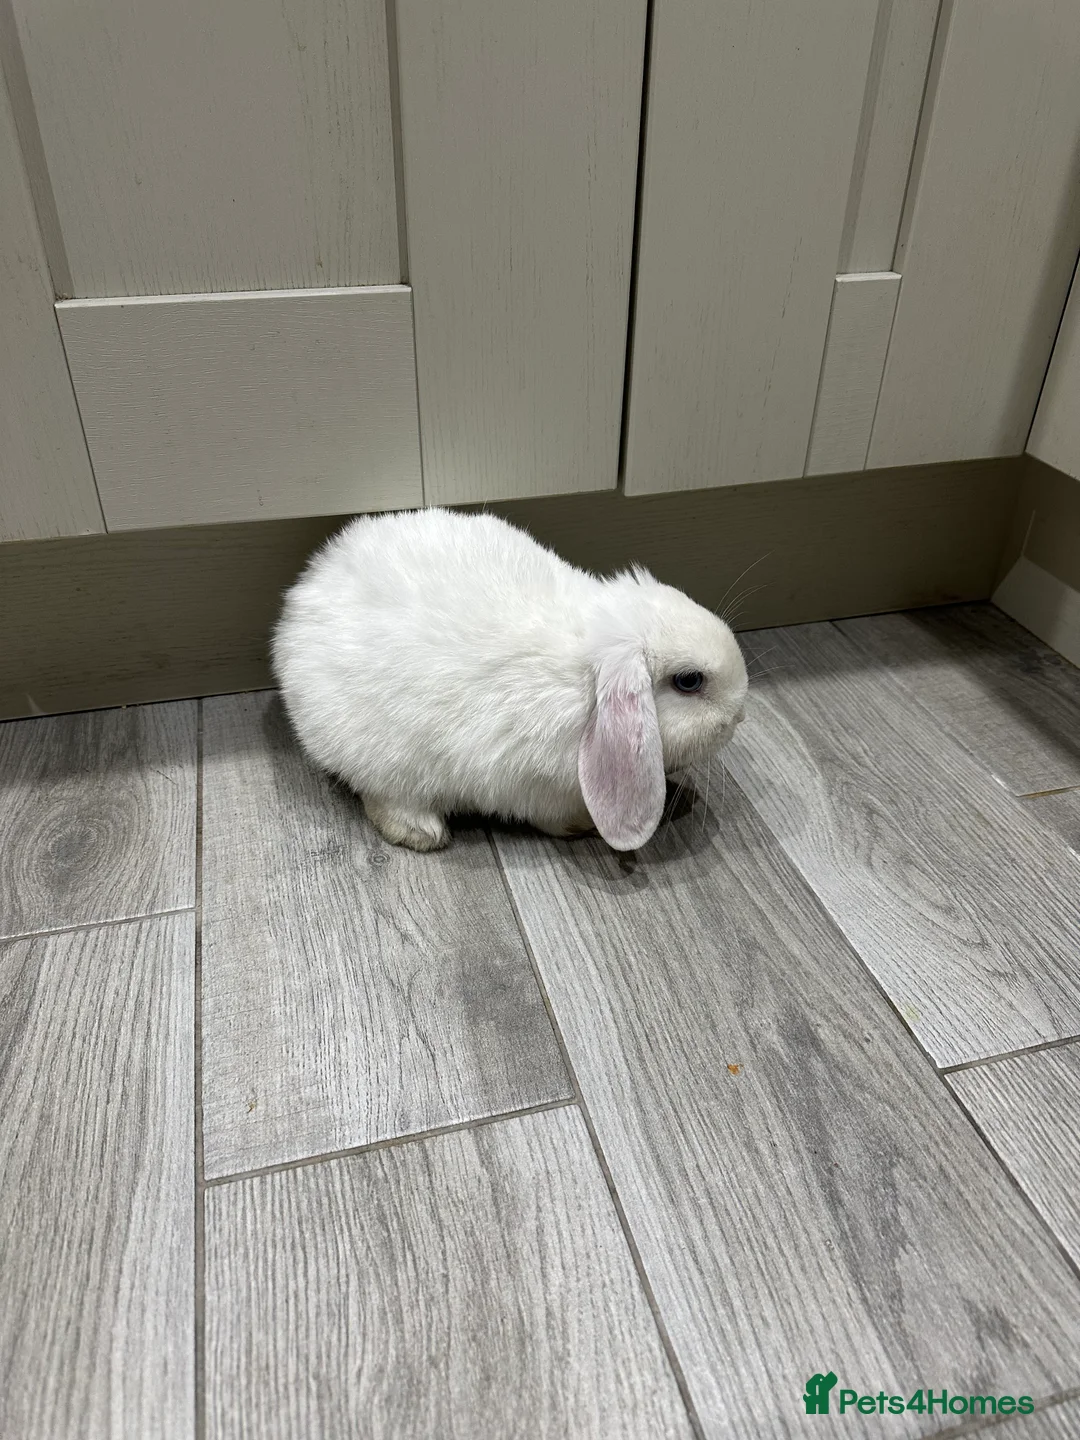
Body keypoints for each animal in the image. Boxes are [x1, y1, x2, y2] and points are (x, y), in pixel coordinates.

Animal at [271, 507, 748, 853]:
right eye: (689, 681)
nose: (740, 715)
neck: (585, 688)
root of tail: (307, 587)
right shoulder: (537, 788)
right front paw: (581, 826)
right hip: (378, 756)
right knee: (383, 795)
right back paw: (422, 833)